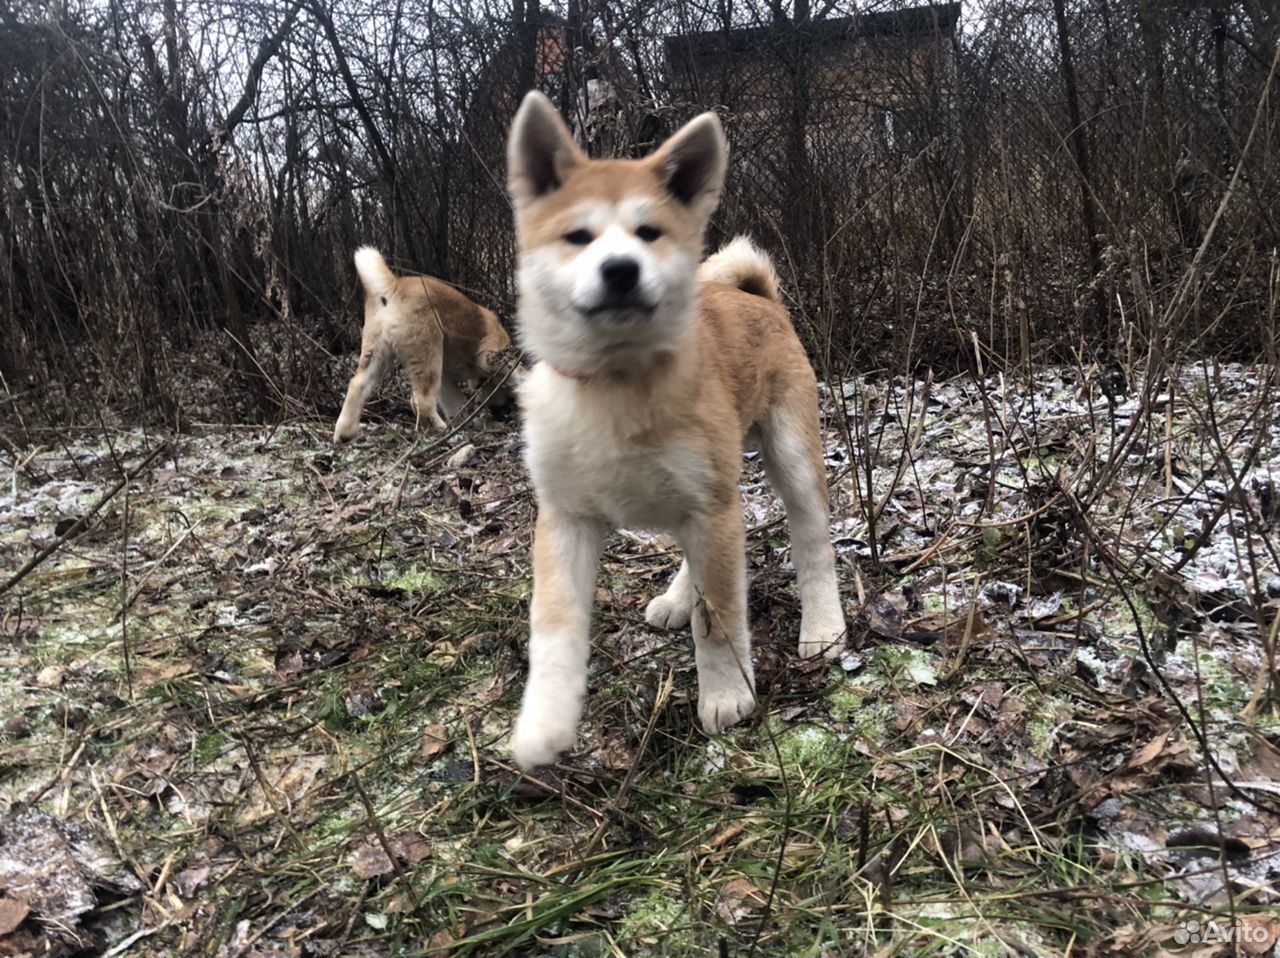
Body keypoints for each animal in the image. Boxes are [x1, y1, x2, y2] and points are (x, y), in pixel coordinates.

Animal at [335, 244, 514, 443]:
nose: (502, 412)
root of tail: (392, 288)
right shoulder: (491, 355)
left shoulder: (445, 379)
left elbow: (455, 404)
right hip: (426, 355)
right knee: (421, 401)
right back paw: (441, 430)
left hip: (375, 355)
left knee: (357, 385)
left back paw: (345, 432)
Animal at [504, 93, 844, 768]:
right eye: (577, 236)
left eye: (649, 233)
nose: (620, 270)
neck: (615, 384)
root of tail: (759, 296)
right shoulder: (565, 518)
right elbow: (553, 627)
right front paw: (544, 722)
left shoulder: (711, 508)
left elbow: (719, 617)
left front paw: (726, 694)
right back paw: (676, 597)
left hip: (788, 458)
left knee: (813, 545)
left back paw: (823, 626)